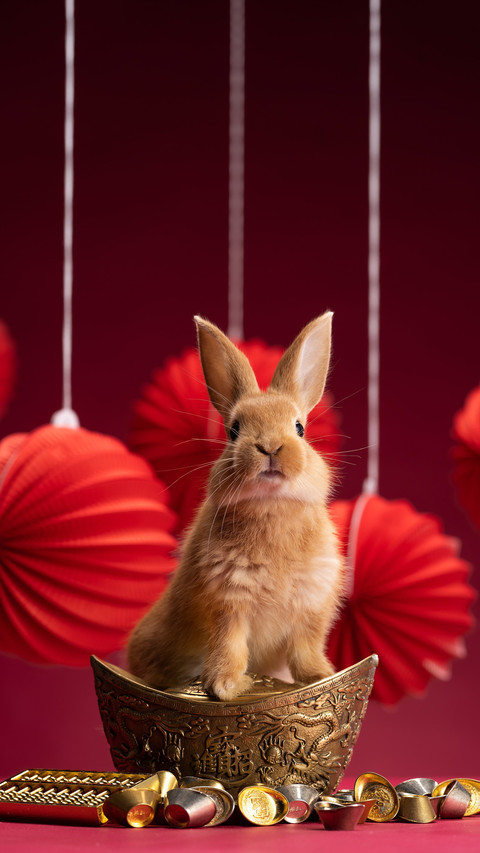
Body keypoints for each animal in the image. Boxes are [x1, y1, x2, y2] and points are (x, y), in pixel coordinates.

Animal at [127, 312, 344, 701]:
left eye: (300, 428)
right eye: (233, 430)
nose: (270, 447)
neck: (272, 505)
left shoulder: (310, 606)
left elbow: (305, 649)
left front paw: (320, 676)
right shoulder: (228, 602)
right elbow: (230, 644)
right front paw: (227, 686)